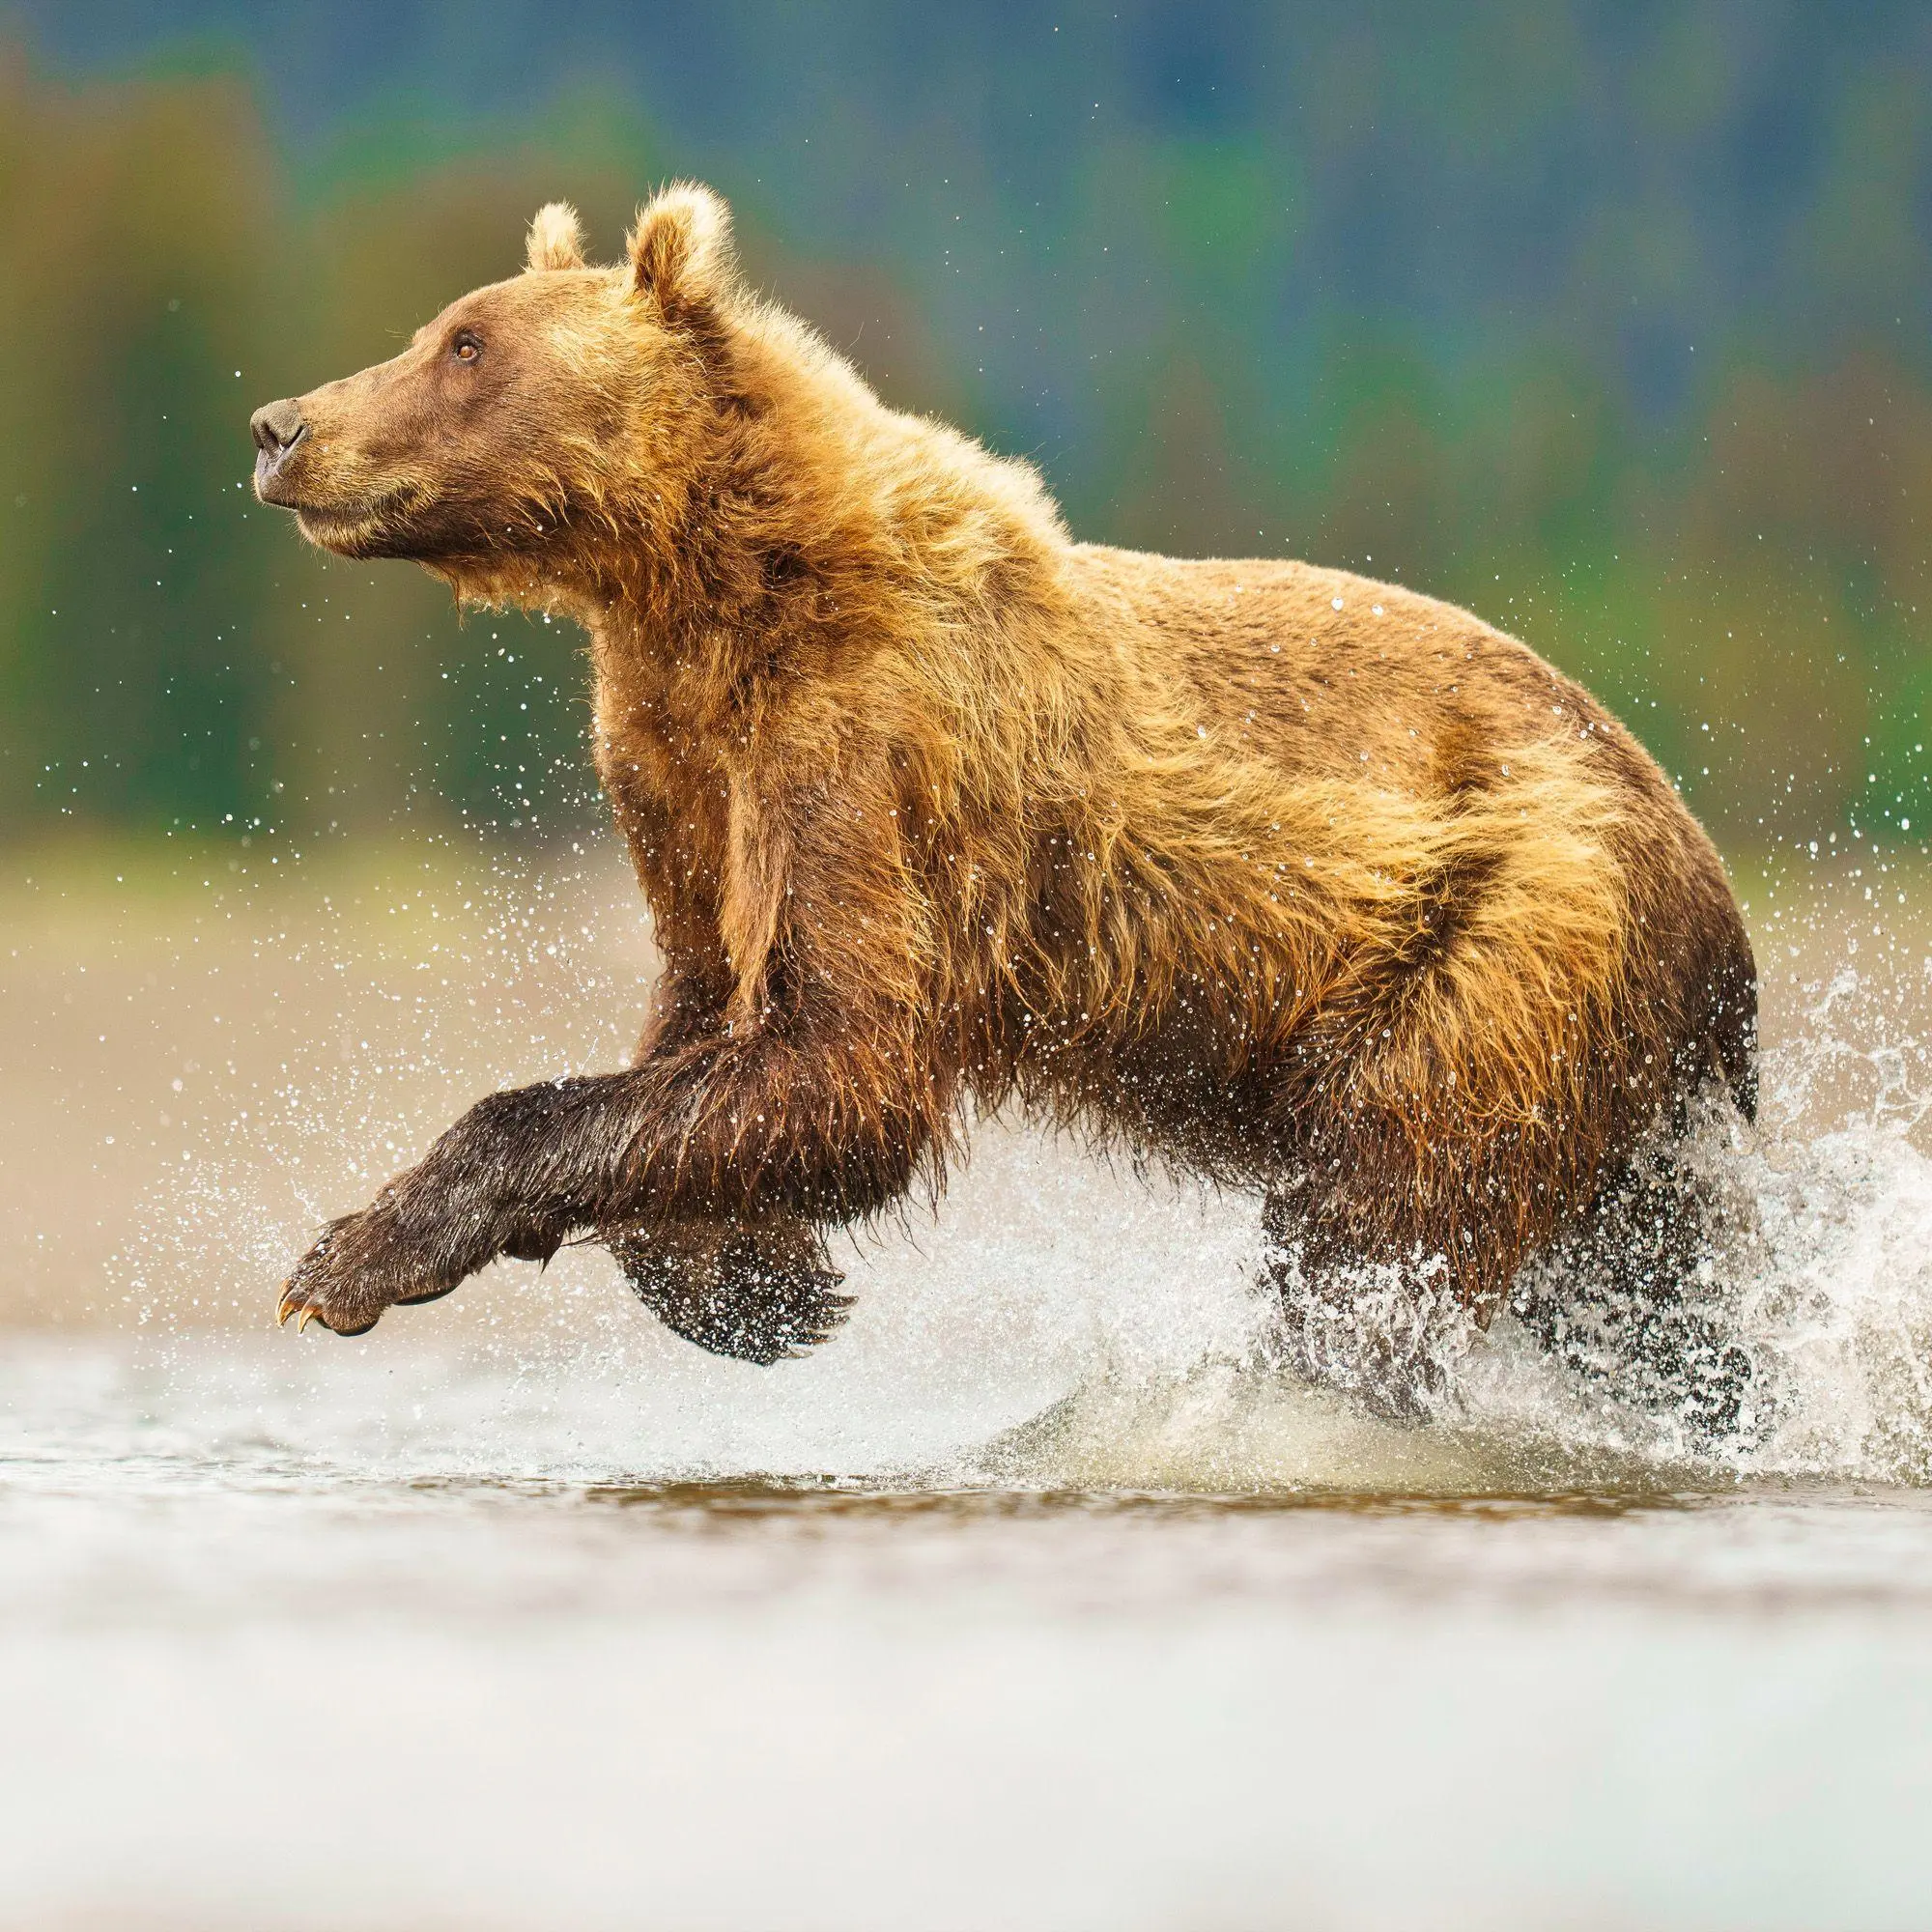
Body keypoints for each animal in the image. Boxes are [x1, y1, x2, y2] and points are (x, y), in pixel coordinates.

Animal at [250, 184, 1757, 1423]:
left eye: (464, 345)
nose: (280, 425)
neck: (710, 586)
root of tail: (1709, 885)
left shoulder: (861, 748)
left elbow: (850, 1051)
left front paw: (350, 1256)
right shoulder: (679, 774)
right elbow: (708, 999)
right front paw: (753, 1283)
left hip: (1494, 948)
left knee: (1384, 1224)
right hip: (1608, 1086)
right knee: (1647, 1290)